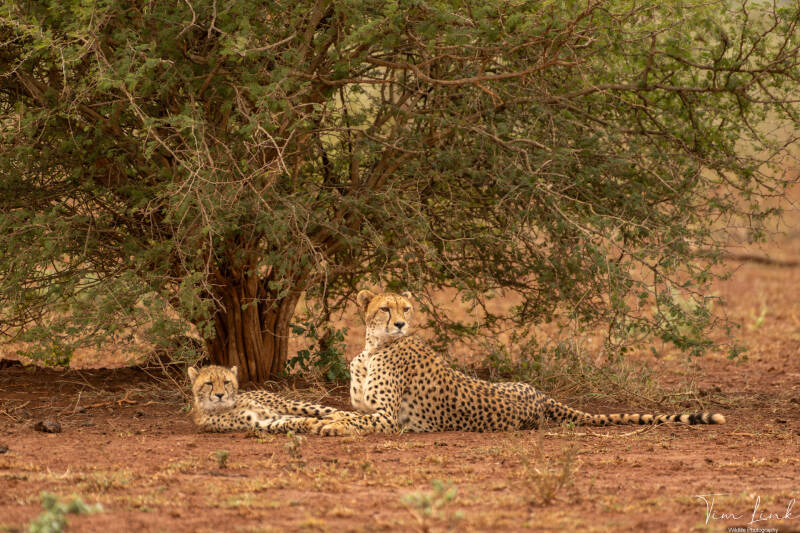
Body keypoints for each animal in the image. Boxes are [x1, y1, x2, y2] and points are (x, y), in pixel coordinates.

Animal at [188, 365, 356, 433]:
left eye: (226, 382)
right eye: (209, 383)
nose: (220, 395)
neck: (228, 406)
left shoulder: (271, 414)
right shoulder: (257, 422)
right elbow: (292, 422)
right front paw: (314, 423)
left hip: (289, 405)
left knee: (337, 411)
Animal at [262, 289, 725, 436]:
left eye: (406, 308)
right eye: (383, 309)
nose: (399, 323)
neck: (374, 347)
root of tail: (539, 394)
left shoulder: (387, 418)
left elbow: (347, 419)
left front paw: (324, 427)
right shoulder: (362, 404)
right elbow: (330, 410)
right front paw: (300, 420)